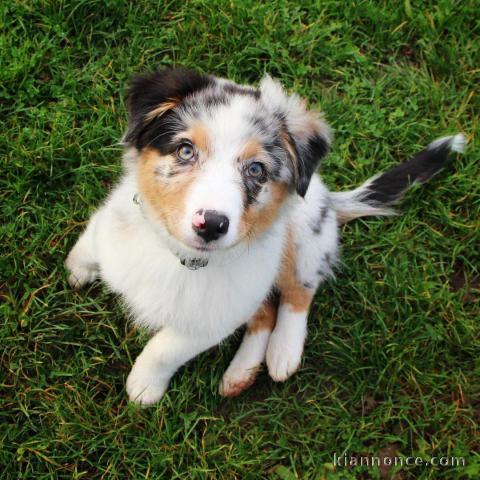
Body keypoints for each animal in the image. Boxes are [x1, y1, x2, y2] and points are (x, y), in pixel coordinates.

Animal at [65, 67, 466, 404]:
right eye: (185, 150)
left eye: (256, 170)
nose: (212, 224)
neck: (179, 257)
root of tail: (327, 196)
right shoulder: (112, 228)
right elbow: (91, 240)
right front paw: (77, 268)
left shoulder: (213, 318)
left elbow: (166, 348)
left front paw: (144, 386)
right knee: (264, 311)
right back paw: (241, 373)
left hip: (303, 236)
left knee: (297, 293)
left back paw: (283, 352)